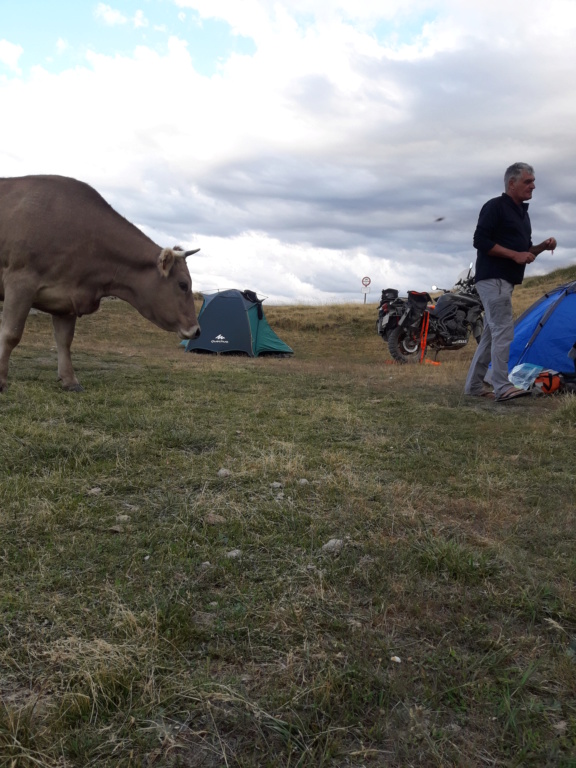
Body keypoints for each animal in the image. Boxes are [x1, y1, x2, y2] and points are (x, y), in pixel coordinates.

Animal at [0, 174, 201, 390]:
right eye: (183, 284)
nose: (197, 330)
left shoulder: (66, 298)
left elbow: (65, 340)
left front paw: (70, 380)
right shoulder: (20, 281)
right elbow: (11, 334)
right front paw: (1, 380)